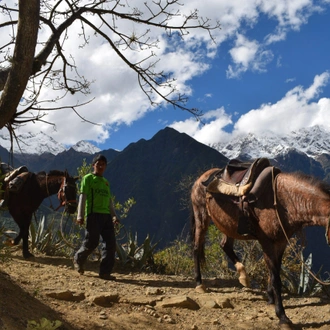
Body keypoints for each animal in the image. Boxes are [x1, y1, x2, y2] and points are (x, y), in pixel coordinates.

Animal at [191, 169, 330, 328]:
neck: (285, 202)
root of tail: (203, 176)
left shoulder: (281, 242)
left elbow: (275, 271)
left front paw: (270, 298)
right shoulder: (267, 242)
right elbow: (276, 278)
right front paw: (282, 316)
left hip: (228, 225)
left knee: (225, 245)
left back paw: (243, 276)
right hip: (201, 217)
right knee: (196, 248)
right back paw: (199, 284)